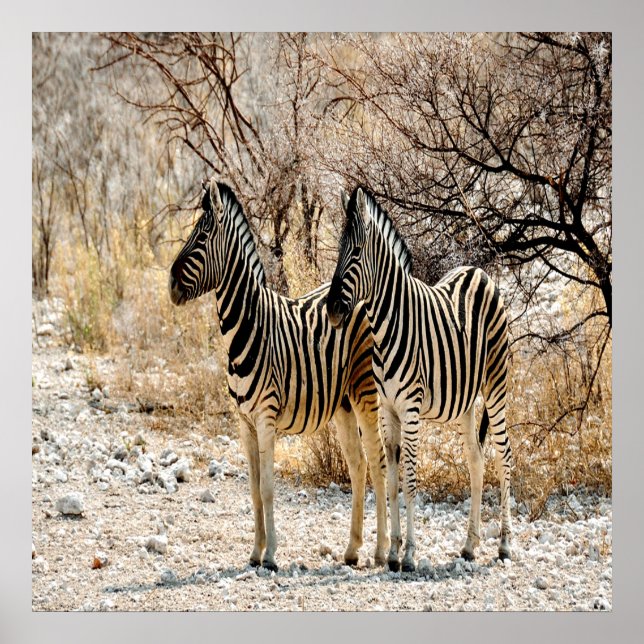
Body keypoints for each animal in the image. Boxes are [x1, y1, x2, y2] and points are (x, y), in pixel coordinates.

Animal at [168, 178, 388, 571]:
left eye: (203, 235)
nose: (170, 284)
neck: (246, 327)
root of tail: (365, 295)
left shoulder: (266, 416)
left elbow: (269, 488)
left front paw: (270, 554)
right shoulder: (243, 421)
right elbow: (254, 489)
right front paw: (255, 552)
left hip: (365, 393)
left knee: (377, 463)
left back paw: (380, 551)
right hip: (343, 404)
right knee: (358, 465)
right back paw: (352, 550)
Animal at [326, 186, 512, 572]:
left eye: (355, 251)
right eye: (338, 250)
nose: (332, 309)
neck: (386, 324)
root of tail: (479, 271)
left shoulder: (410, 408)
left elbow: (410, 478)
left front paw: (410, 553)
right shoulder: (387, 409)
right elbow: (392, 477)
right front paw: (393, 553)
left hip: (496, 384)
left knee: (504, 455)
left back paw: (504, 544)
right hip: (466, 401)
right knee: (476, 460)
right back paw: (470, 546)